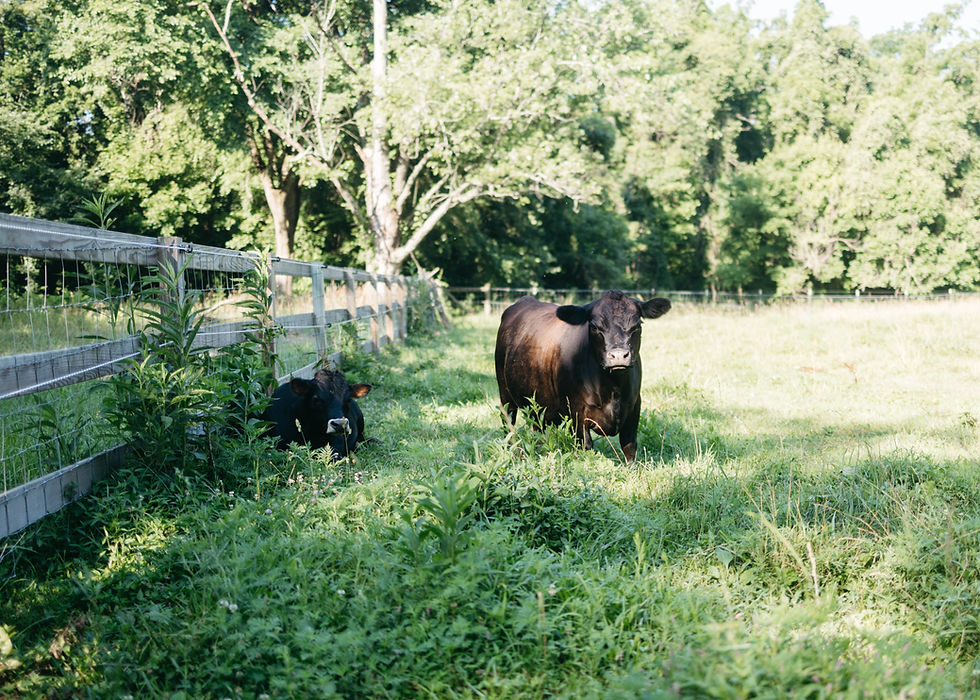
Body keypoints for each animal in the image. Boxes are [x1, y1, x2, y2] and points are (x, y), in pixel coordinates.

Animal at [494, 290, 671, 462]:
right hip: (505, 394)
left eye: (637, 325)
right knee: (508, 423)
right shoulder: (578, 411)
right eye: (595, 326)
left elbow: (629, 447)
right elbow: (585, 445)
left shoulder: (634, 407)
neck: (613, 388)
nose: (619, 356)